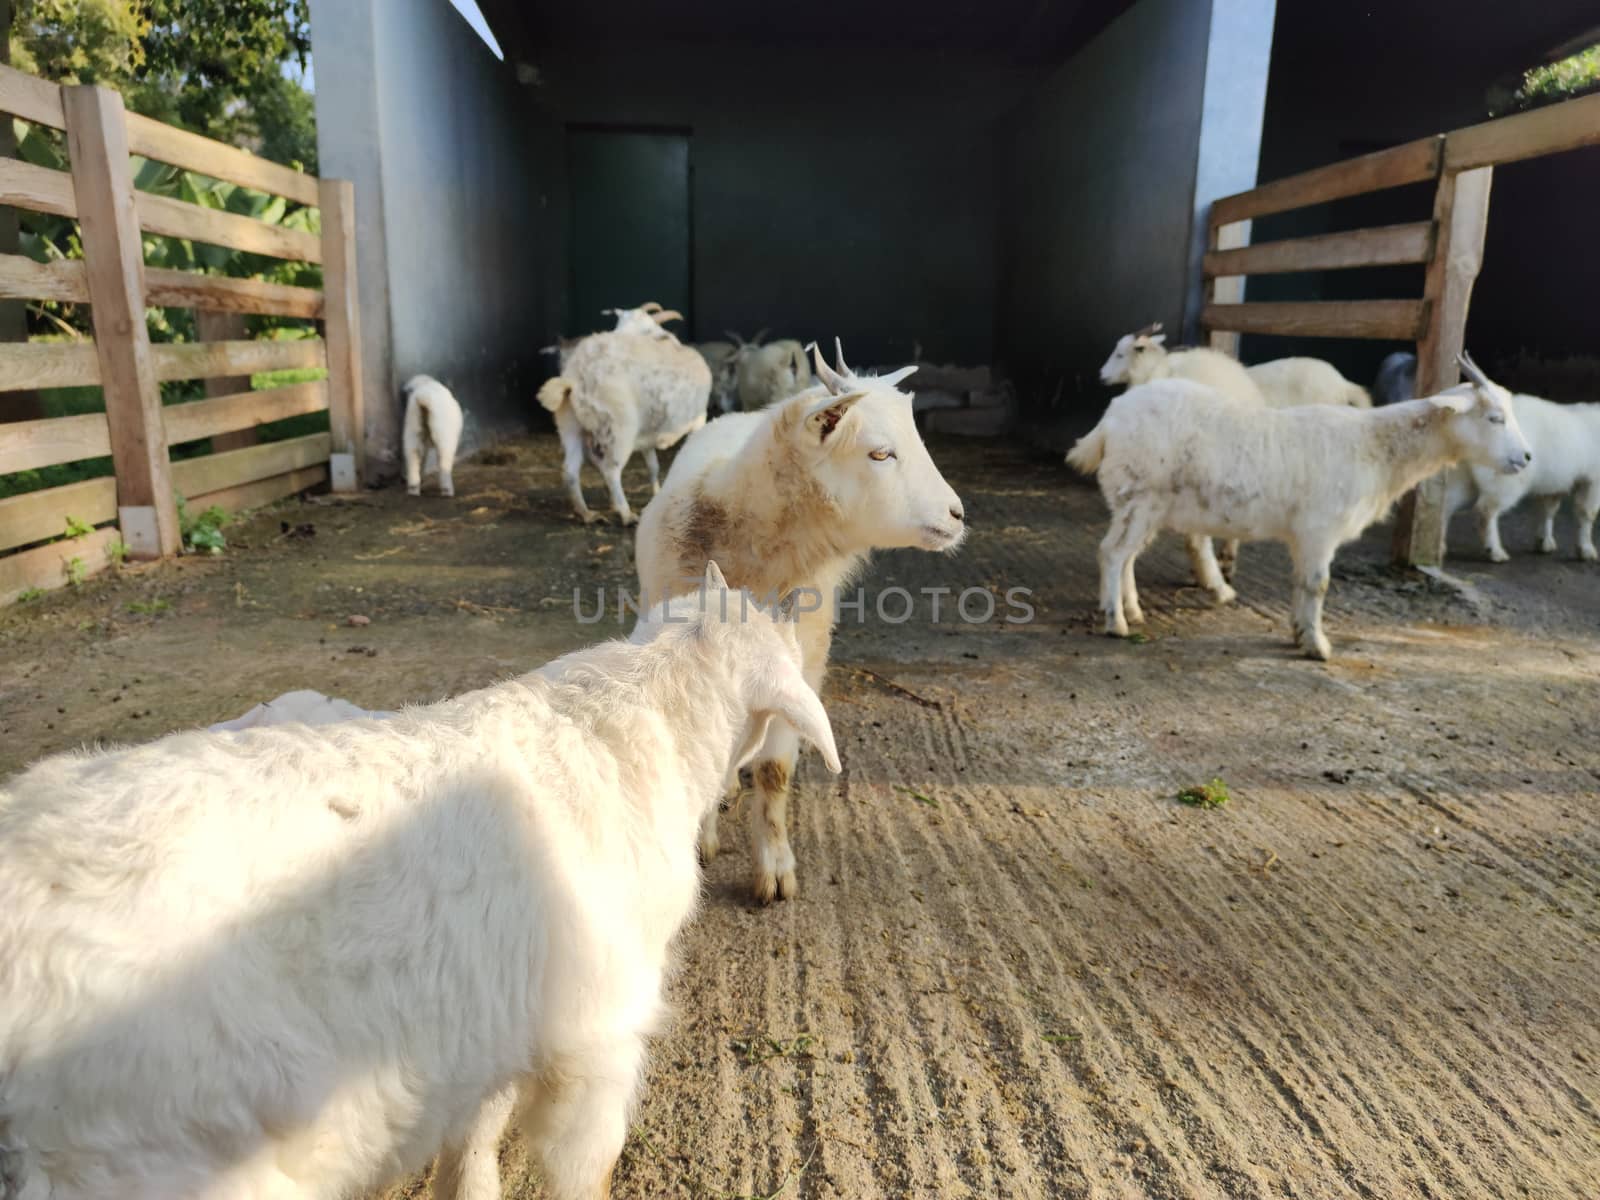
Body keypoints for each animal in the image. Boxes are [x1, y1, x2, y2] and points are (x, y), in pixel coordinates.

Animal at [534, 331, 710, 524]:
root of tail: (576, 377)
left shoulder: (649, 435)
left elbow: (653, 467)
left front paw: (656, 494)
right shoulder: (698, 421)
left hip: (570, 426)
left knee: (570, 471)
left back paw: (587, 514)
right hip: (620, 428)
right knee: (610, 470)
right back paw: (626, 514)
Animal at [633, 339, 960, 902]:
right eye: (879, 452)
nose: (957, 514)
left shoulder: (798, 666)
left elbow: (774, 771)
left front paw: (775, 868)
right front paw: (704, 841)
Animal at [1068, 352, 1529, 662]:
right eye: (1494, 418)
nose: (1525, 458)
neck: (1373, 447)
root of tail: (1109, 421)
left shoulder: (1306, 534)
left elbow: (1300, 583)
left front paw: (1298, 632)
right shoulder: (1319, 529)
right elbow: (1317, 585)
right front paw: (1317, 645)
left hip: (1140, 502)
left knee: (1125, 556)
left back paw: (1132, 610)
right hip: (1139, 494)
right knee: (1112, 553)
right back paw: (1116, 622)